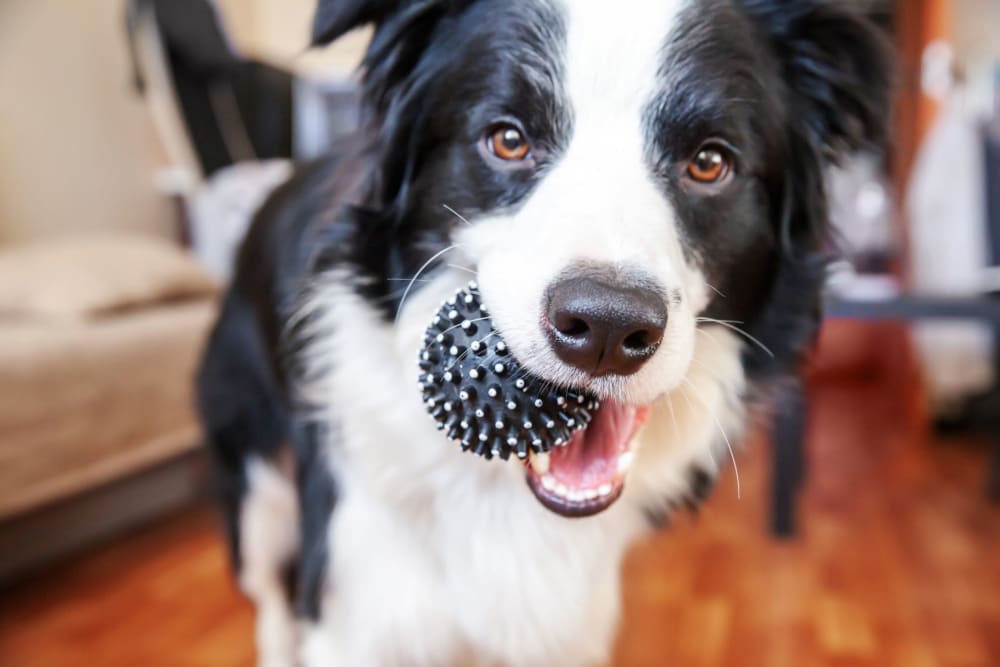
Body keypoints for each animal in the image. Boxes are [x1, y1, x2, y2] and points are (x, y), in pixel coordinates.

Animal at [195, 2, 892, 664]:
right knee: (270, 595)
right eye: (507, 139)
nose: (607, 325)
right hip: (255, 486)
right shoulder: (360, 603)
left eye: (710, 162)